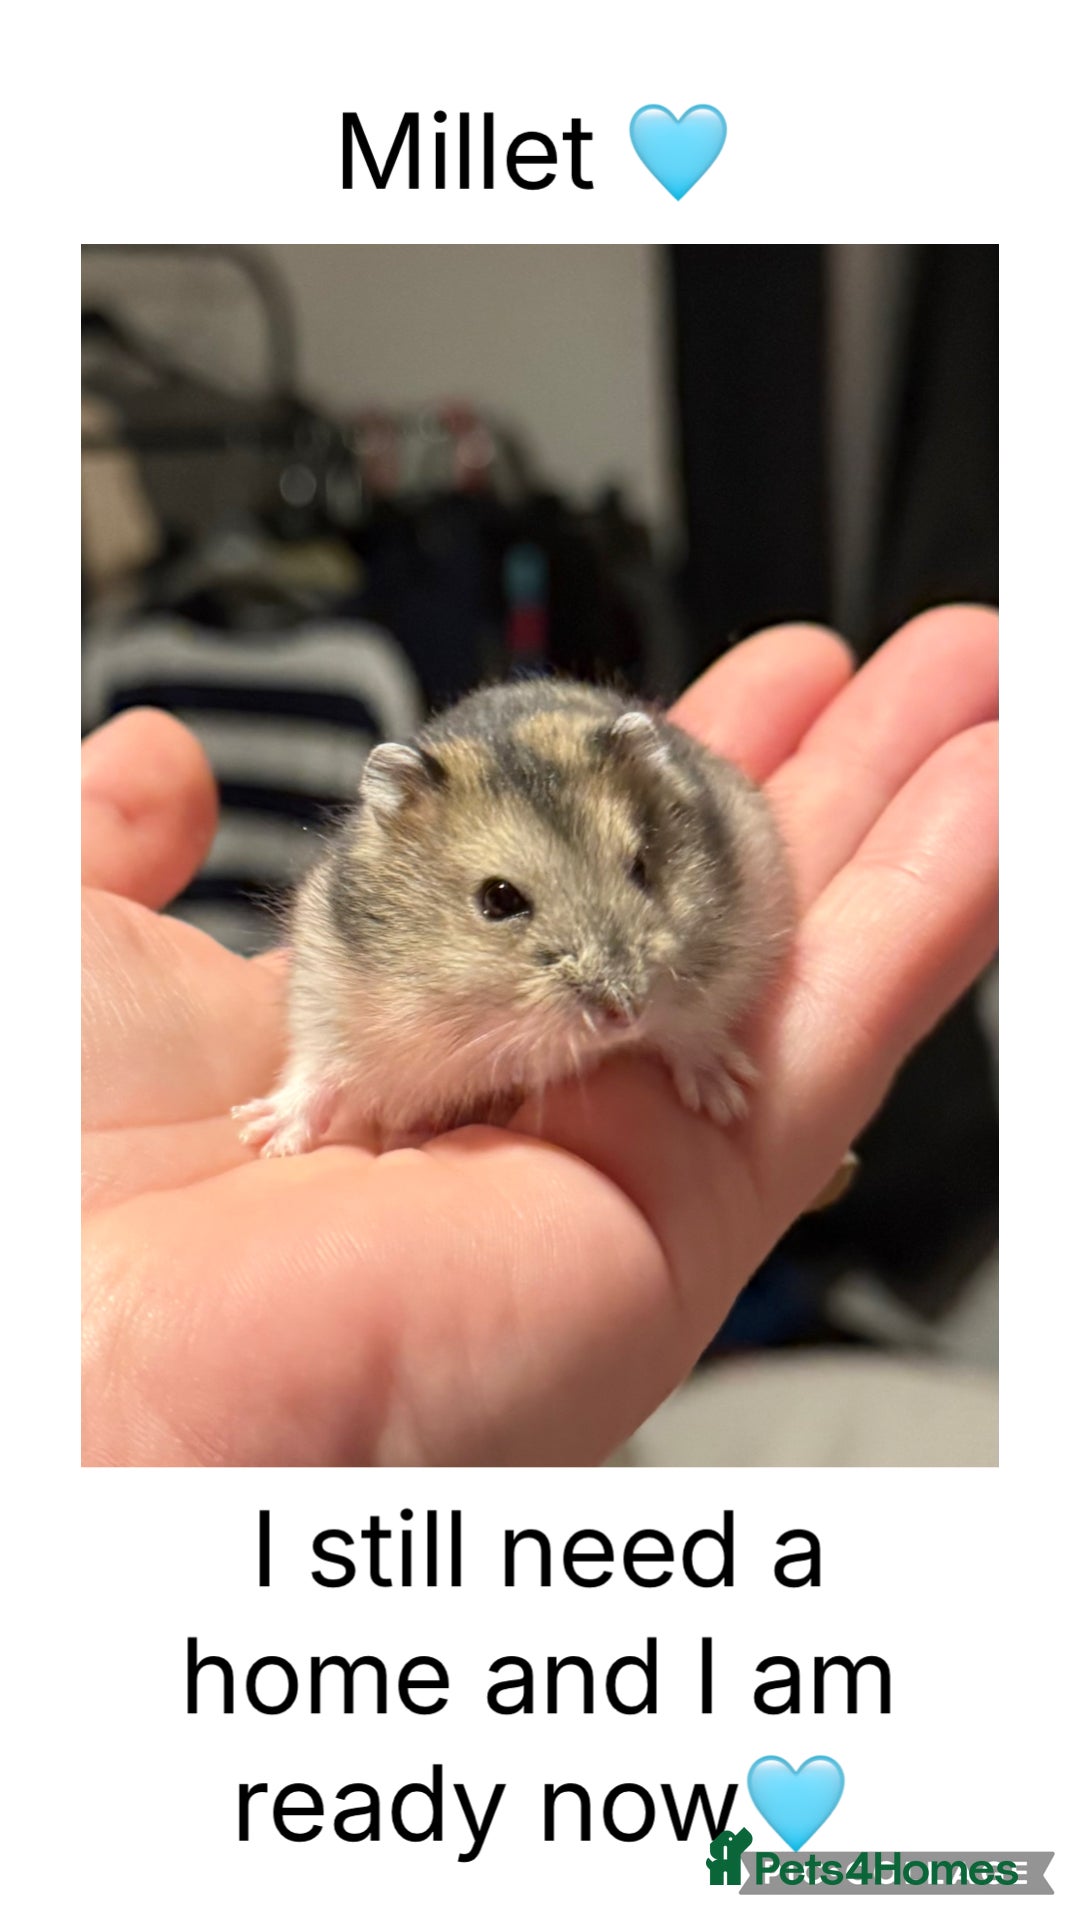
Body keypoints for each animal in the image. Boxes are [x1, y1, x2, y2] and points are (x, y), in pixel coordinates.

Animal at [233, 677, 795, 1157]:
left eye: (640, 868)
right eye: (499, 899)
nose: (626, 1015)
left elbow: (691, 1028)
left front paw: (729, 1099)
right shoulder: (328, 992)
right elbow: (317, 1072)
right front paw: (264, 1139)